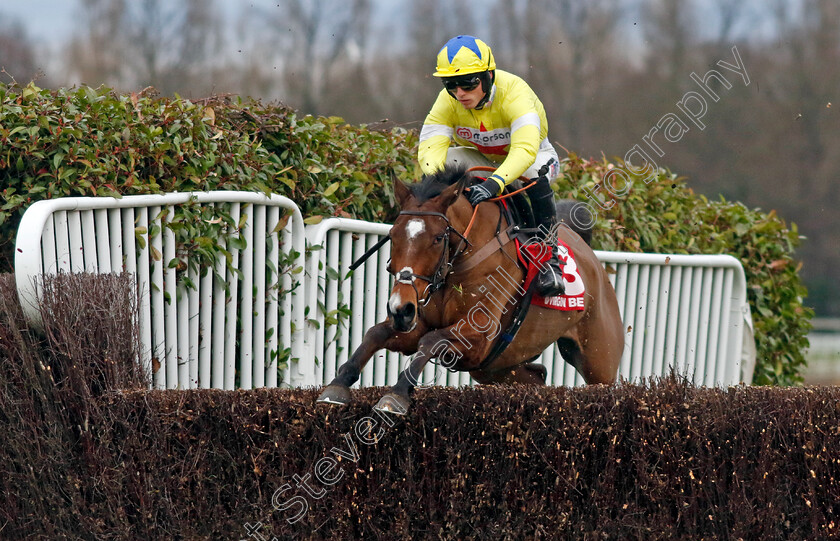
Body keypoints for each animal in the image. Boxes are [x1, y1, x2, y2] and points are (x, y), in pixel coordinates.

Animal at [316, 166, 624, 414]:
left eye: (438, 238)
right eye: (392, 235)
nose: (400, 309)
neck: (457, 268)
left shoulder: (478, 339)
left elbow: (430, 341)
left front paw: (398, 394)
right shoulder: (419, 325)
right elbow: (375, 334)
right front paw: (337, 386)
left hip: (599, 361)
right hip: (498, 368)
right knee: (537, 377)